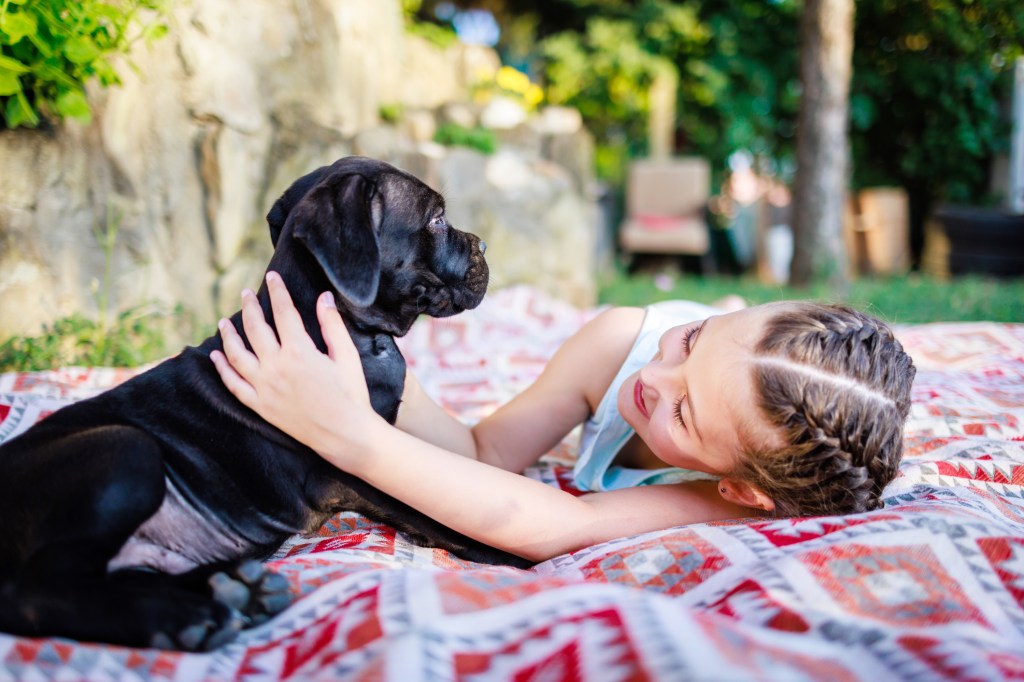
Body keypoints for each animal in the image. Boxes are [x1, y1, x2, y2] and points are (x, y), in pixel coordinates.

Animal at [0, 156, 528, 651]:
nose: (484, 247)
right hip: (126, 451)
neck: (347, 327)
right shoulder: (357, 460)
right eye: (436, 219)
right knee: (38, 593)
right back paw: (186, 619)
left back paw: (235, 590)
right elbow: (430, 512)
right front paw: (512, 554)